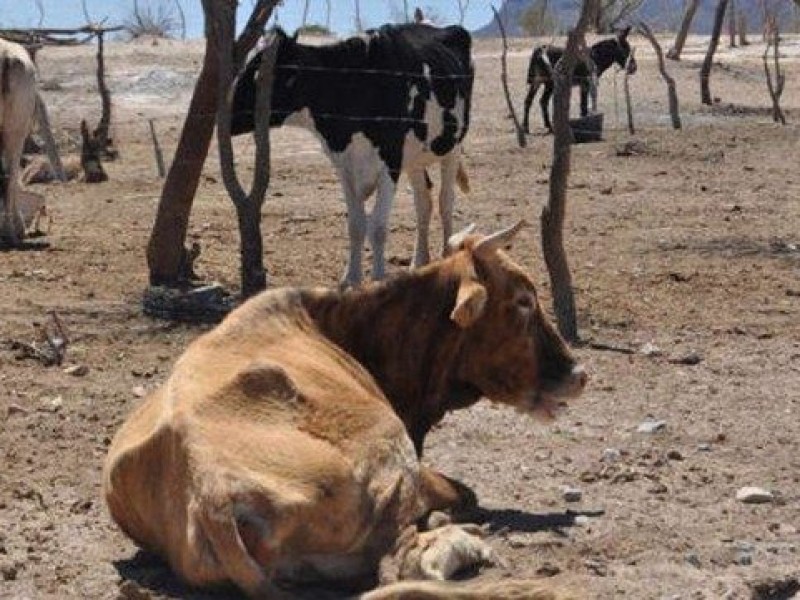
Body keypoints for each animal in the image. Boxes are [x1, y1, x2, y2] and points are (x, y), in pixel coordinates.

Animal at [103, 221, 584, 600]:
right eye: (523, 301)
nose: (579, 373)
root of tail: (212, 494)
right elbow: (465, 492)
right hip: (387, 447)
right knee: (400, 563)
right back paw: (459, 541)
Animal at [231, 23, 472, 286]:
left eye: (258, 77)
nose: (227, 116)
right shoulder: (344, 166)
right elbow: (356, 225)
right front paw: (351, 278)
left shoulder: (390, 162)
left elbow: (378, 227)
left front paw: (378, 279)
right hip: (415, 157)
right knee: (423, 201)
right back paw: (419, 262)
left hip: (452, 146)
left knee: (445, 200)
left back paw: (446, 256)